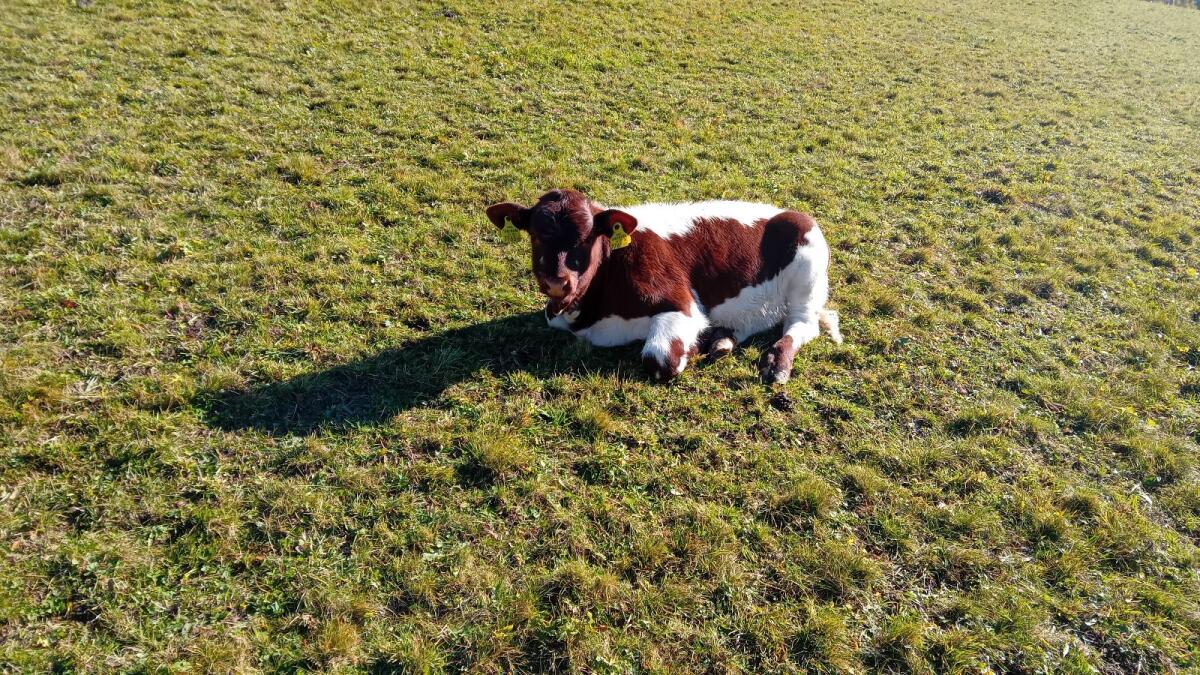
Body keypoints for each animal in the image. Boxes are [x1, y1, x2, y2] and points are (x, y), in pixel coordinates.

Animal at [485, 189, 842, 384]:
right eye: (535, 235)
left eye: (588, 238)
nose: (557, 282)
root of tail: (789, 211)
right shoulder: (555, 313)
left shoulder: (681, 305)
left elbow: (659, 359)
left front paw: (693, 347)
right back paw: (721, 341)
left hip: (807, 278)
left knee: (801, 326)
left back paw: (775, 364)